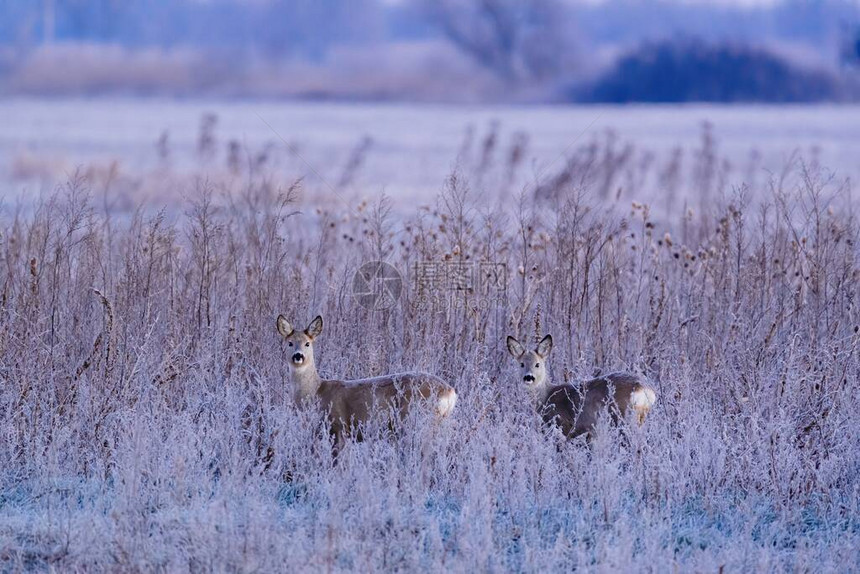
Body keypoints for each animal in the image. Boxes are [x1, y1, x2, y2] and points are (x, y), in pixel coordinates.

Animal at [278, 316, 460, 454]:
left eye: (308, 343)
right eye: (290, 343)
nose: (298, 356)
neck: (316, 391)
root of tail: (450, 391)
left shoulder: (338, 427)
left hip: (416, 420)